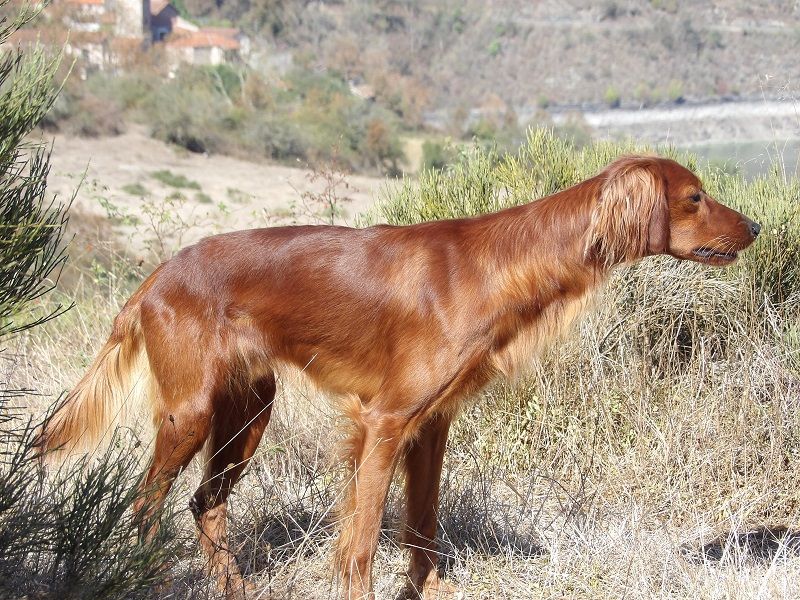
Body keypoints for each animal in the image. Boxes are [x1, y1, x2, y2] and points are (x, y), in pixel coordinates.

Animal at [43, 157, 764, 596]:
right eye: (695, 197)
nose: (757, 224)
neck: (494, 266)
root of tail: (158, 276)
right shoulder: (385, 422)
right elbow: (362, 541)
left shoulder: (431, 426)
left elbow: (423, 528)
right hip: (192, 411)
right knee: (147, 503)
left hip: (249, 410)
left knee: (205, 503)